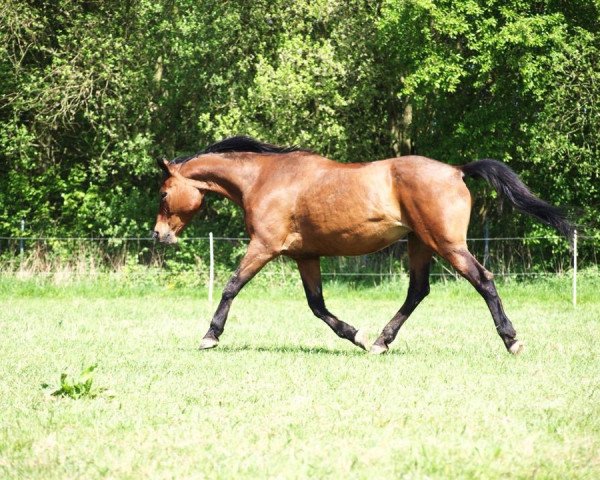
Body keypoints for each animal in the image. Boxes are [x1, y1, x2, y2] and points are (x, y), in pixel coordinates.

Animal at [154, 135, 572, 352]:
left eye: (162, 193)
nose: (160, 235)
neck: (265, 179)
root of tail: (456, 171)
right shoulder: (305, 255)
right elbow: (317, 306)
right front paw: (355, 335)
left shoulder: (264, 246)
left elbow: (231, 286)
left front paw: (210, 336)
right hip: (420, 245)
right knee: (418, 291)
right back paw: (381, 342)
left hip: (447, 244)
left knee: (483, 280)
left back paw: (511, 340)